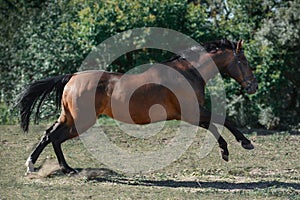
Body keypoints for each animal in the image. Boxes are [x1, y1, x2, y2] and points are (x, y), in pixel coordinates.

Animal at [15, 39, 258, 175]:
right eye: (245, 62)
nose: (253, 86)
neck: (189, 72)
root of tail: (72, 78)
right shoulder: (191, 112)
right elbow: (223, 121)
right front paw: (241, 144)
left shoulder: (191, 114)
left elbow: (215, 125)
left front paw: (227, 150)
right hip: (81, 121)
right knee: (54, 137)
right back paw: (63, 168)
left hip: (69, 118)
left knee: (49, 135)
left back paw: (36, 166)